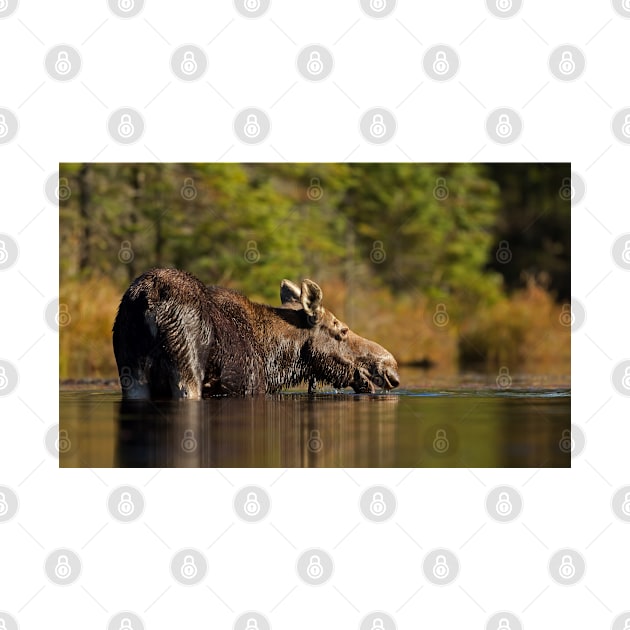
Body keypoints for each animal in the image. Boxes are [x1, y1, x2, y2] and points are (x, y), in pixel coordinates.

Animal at [113, 268, 400, 400]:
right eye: (342, 330)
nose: (391, 368)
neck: (278, 361)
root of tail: (147, 299)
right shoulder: (251, 387)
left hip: (132, 373)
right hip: (187, 370)